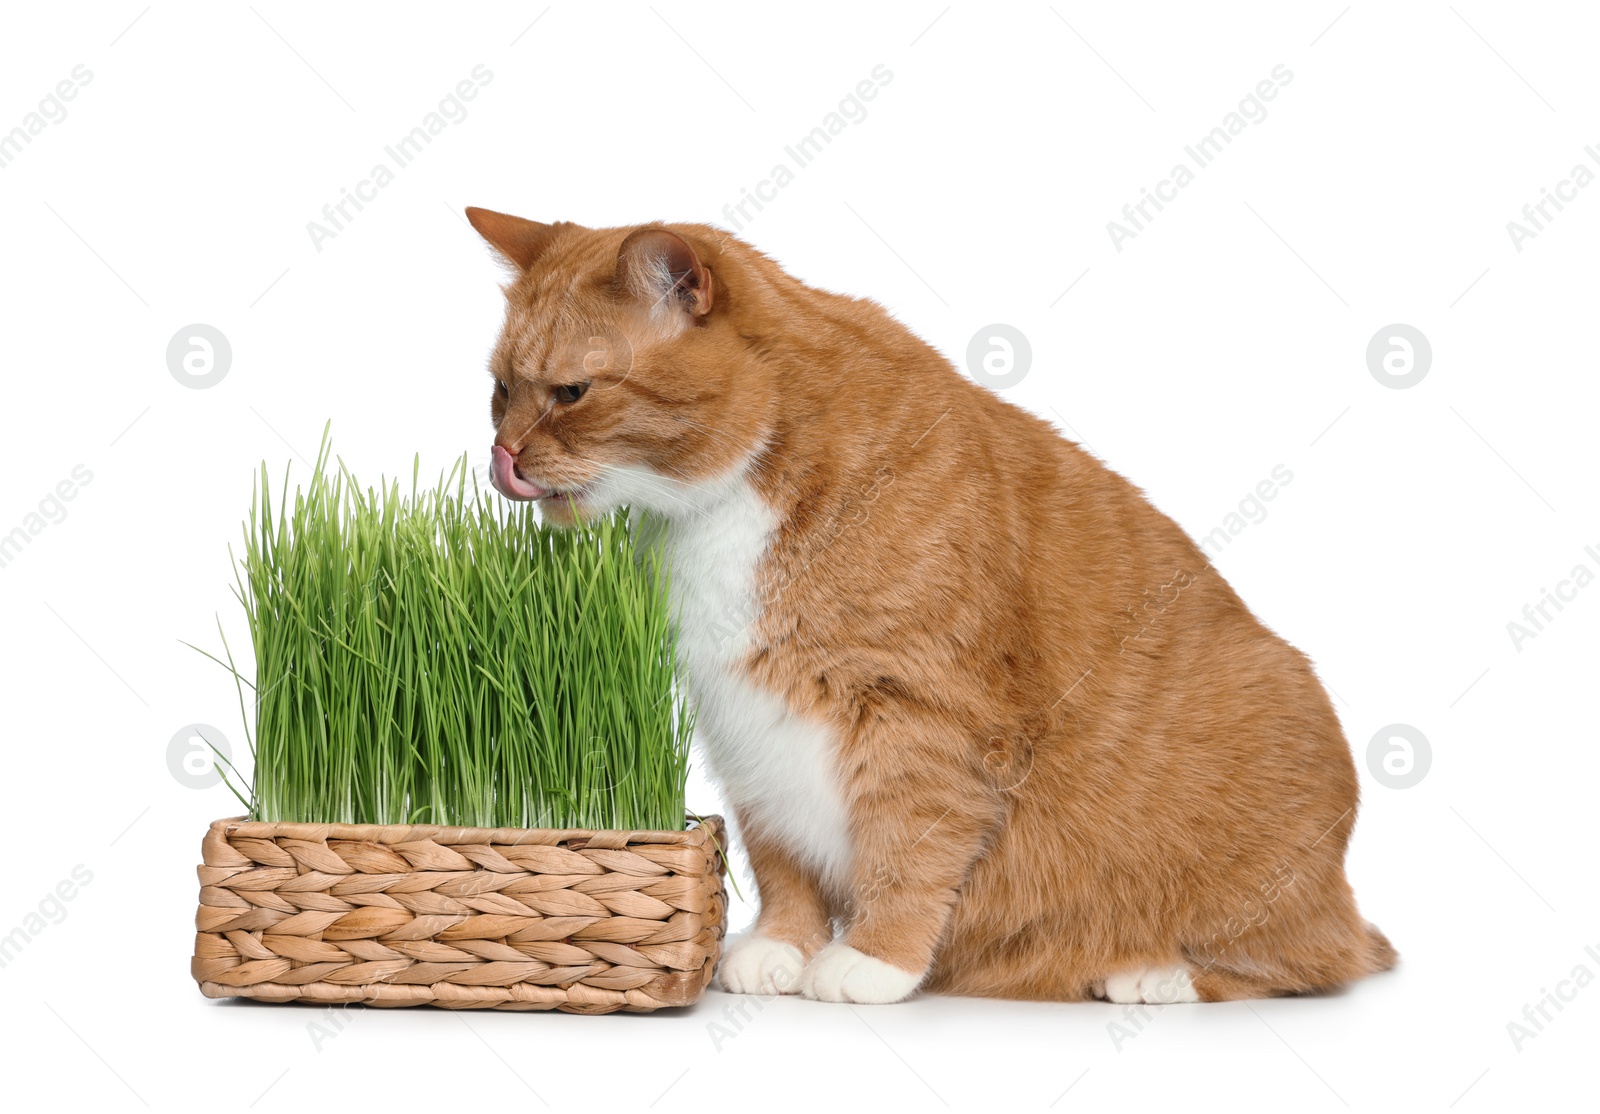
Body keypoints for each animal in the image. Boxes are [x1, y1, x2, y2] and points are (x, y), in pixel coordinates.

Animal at [467, 204, 1395, 1005]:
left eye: (573, 393)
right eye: (500, 389)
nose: (503, 457)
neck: (721, 506)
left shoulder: (920, 713)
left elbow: (910, 843)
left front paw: (875, 958)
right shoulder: (746, 721)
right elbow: (780, 855)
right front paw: (784, 944)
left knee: (1317, 959)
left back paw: (1149, 974)